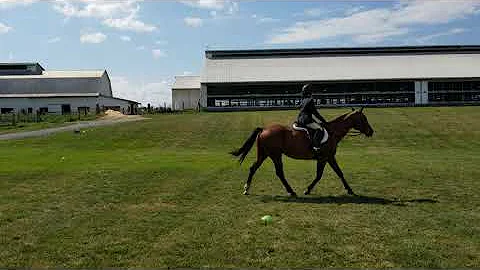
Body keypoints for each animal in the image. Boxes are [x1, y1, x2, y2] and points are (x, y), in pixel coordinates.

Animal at [230, 108, 376, 198]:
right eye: (363, 119)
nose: (371, 131)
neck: (333, 132)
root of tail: (264, 129)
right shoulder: (324, 158)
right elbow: (319, 175)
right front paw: (307, 190)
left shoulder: (329, 157)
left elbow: (339, 173)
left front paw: (349, 190)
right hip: (275, 155)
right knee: (279, 172)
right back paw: (291, 191)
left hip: (264, 154)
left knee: (253, 168)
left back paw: (246, 189)